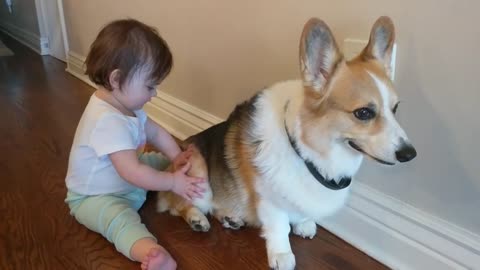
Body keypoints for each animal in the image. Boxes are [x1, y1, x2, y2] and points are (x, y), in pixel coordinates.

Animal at [158, 16, 416, 270]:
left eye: (395, 108)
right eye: (363, 113)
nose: (409, 154)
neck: (309, 151)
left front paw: (303, 223)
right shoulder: (268, 199)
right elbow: (279, 226)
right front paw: (282, 254)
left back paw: (230, 218)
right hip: (198, 171)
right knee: (180, 205)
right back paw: (197, 218)